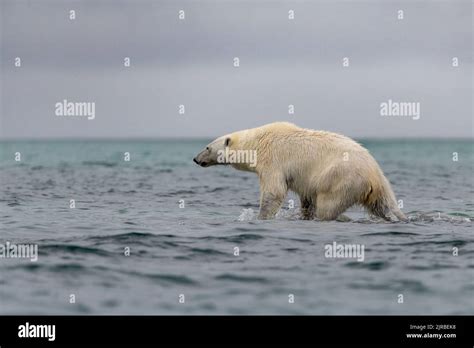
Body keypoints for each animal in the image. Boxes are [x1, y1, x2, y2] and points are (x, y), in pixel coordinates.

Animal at [193, 121, 408, 220]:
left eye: (207, 147)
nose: (196, 159)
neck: (257, 142)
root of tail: (373, 173)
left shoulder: (273, 160)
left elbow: (274, 191)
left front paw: (260, 216)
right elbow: (307, 198)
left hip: (342, 178)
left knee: (328, 205)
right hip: (379, 186)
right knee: (384, 205)